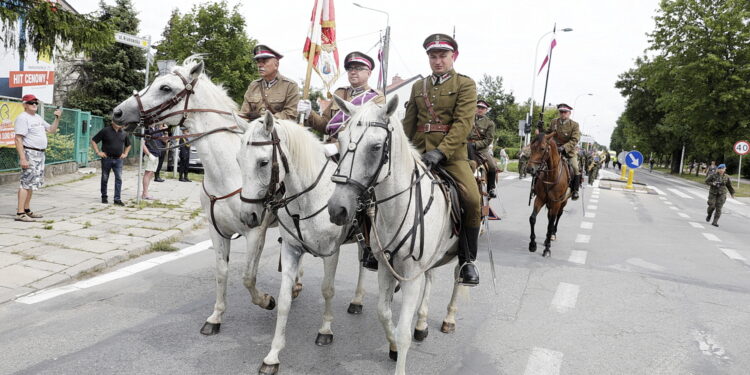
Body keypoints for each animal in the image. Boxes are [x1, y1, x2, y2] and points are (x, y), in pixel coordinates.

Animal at [113, 58, 292, 334]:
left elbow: (247, 277)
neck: (228, 171)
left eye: (165, 87)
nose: (118, 112)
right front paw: (215, 317)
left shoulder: (255, 232)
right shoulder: (216, 231)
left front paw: (267, 300)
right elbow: (221, 272)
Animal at [235, 113, 364, 374]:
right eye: (238, 160)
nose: (247, 216)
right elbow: (284, 301)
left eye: (263, 162)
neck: (309, 197)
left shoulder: (331, 253)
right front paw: (272, 355)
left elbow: (327, 290)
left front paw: (325, 330)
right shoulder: (291, 250)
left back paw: (359, 300)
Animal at [328, 96, 470, 375]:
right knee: (431, 278)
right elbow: (384, 313)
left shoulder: (410, 275)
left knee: (459, 279)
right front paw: (392, 346)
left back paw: (449, 317)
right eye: (340, 139)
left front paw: (399, 352)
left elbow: (403, 331)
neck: (398, 207)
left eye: (375, 147)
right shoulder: (385, 267)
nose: (337, 209)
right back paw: (422, 323)